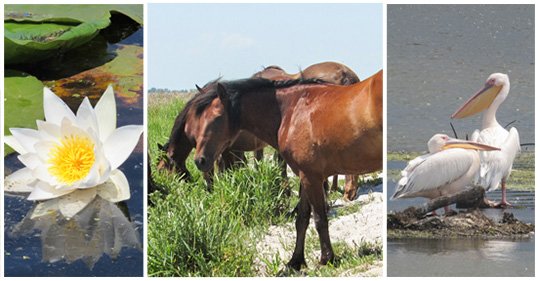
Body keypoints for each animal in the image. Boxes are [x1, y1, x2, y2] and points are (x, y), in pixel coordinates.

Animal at [192, 70, 382, 270]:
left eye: (216, 118)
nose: (199, 160)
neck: (291, 111)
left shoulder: (311, 178)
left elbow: (319, 219)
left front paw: (326, 258)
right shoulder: (306, 176)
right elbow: (302, 219)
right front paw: (295, 261)